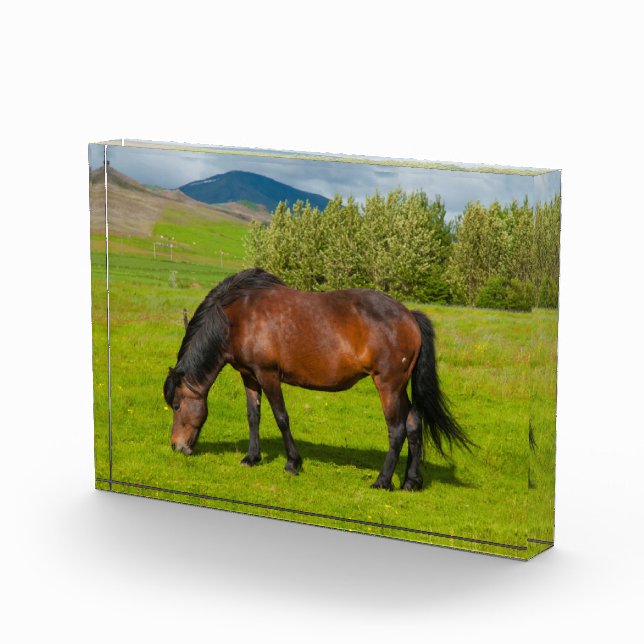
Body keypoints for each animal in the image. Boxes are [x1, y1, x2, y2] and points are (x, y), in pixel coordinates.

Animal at [163, 268, 473, 491]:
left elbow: (281, 418)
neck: (238, 316)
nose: (177, 447)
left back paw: (383, 481)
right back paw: (411, 482)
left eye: (176, 406)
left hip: (388, 385)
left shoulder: (268, 375)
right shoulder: (249, 376)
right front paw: (252, 457)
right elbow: (253, 416)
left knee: (397, 430)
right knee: (413, 424)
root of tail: (409, 315)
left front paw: (293, 463)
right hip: (400, 388)